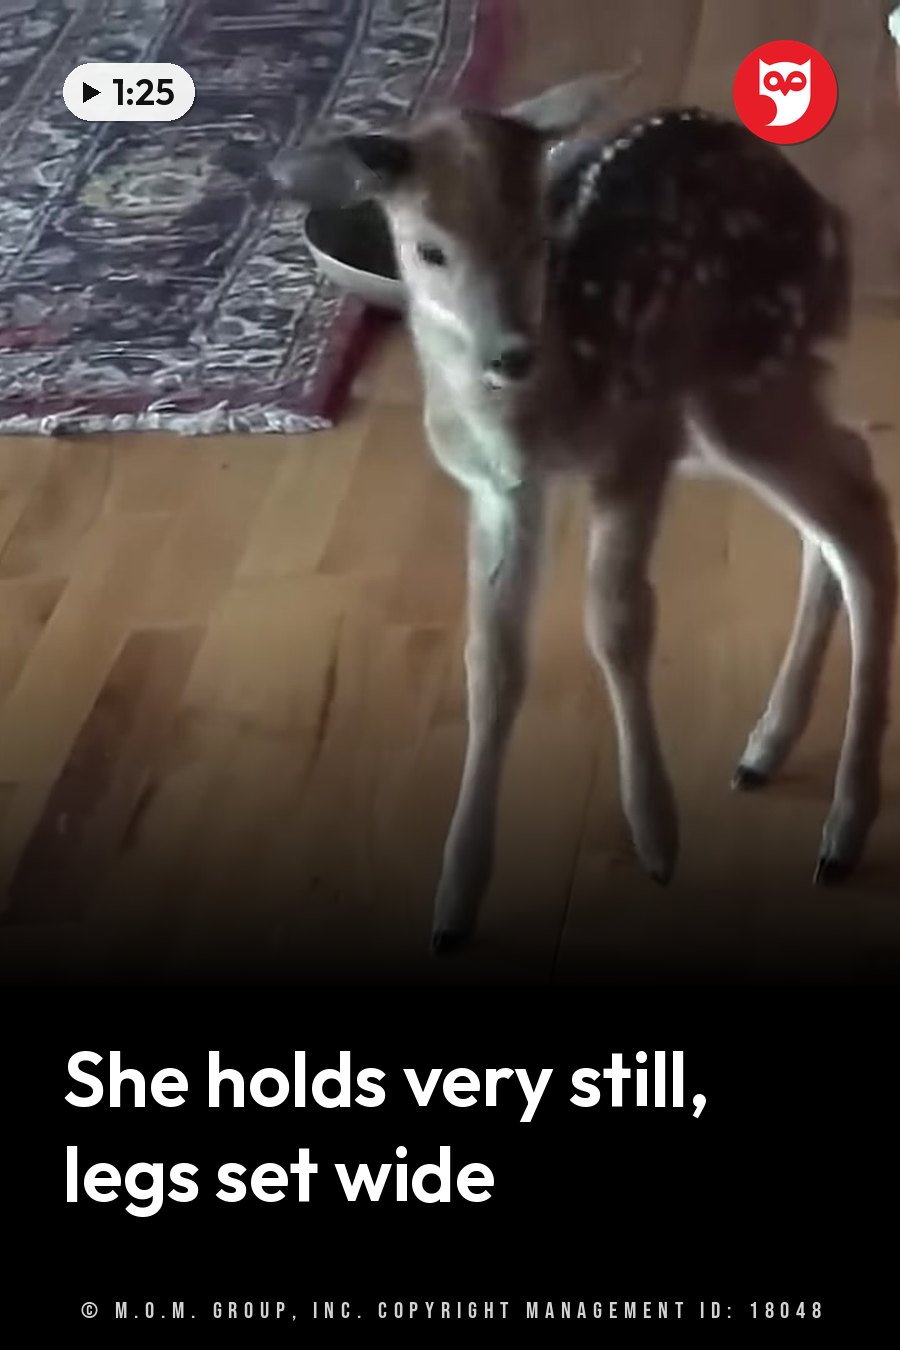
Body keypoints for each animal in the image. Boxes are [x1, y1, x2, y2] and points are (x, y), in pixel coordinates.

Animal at [270, 66, 897, 954]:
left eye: (537, 236)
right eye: (429, 248)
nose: (511, 353)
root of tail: (829, 218)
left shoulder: (634, 449)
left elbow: (616, 623)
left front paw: (657, 838)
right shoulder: (500, 491)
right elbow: (492, 664)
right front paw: (454, 904)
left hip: (738, 384)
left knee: (860, 517)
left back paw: (842, 831)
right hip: (727, 413)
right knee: (846, 483)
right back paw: (766, 749)